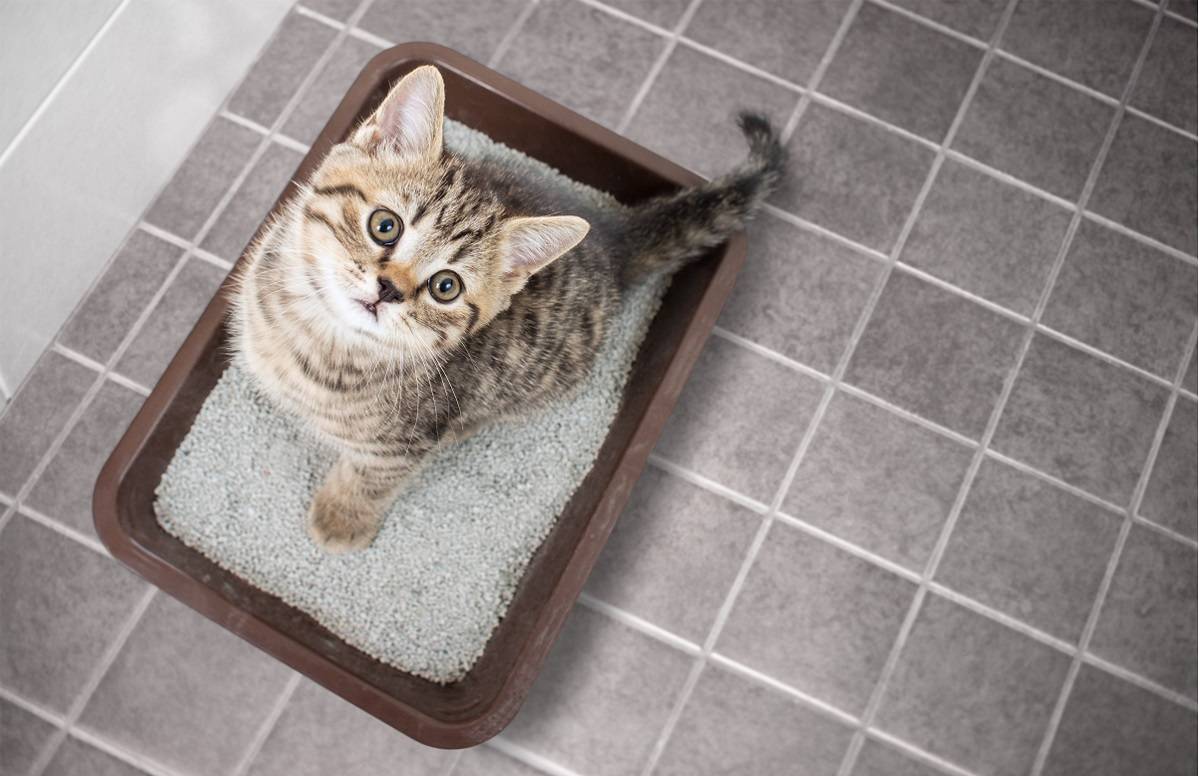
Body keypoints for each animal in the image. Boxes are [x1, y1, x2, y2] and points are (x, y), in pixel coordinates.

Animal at [231, 66, 787, 551]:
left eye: (446, 287)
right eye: (384, 225)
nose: (389, 289)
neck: (316, 334)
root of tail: (612, 241)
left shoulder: (407, 440)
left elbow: (372, 475)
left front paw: (343, 518)